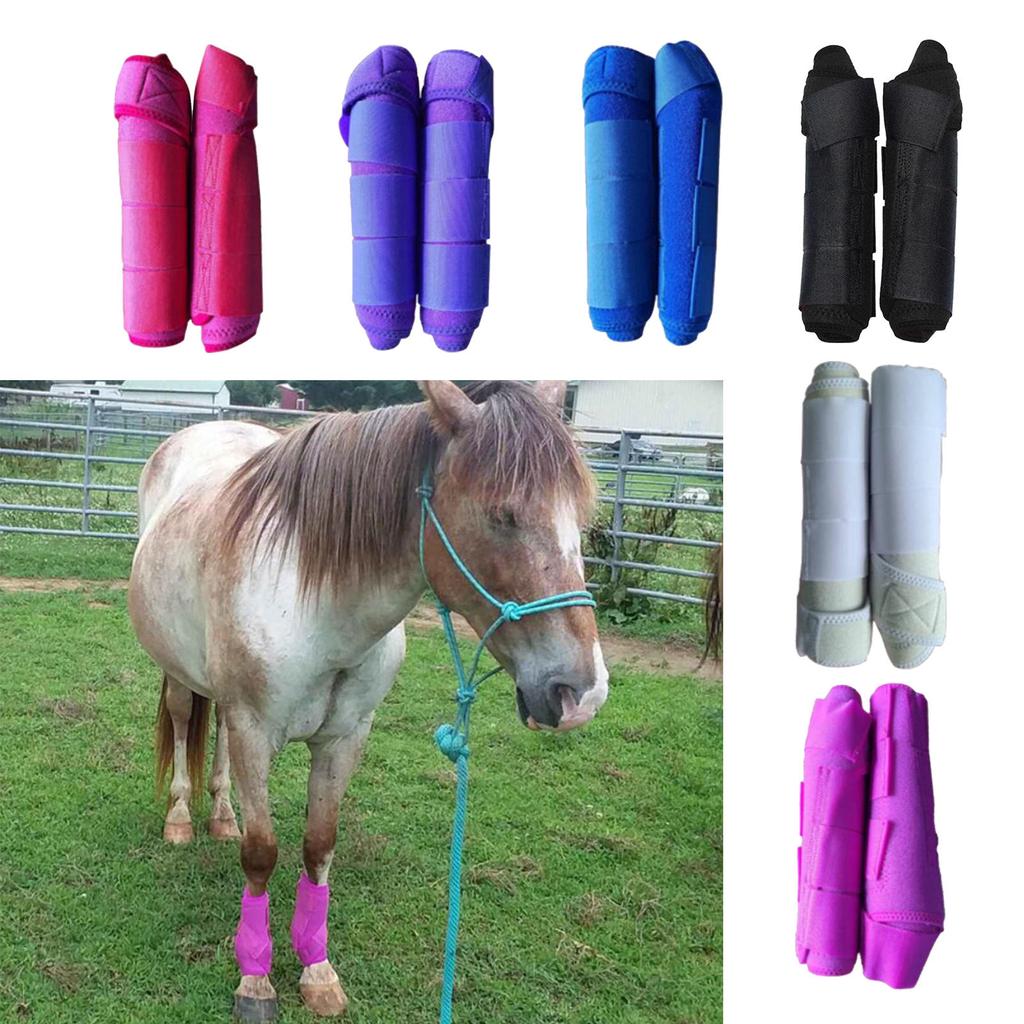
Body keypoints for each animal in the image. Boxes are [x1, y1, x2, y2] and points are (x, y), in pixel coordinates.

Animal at [127, 380, 609, 1020]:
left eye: (579, 516)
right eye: (501, 515)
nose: (582, 692)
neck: (318, 606)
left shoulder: (345, 738)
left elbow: (318, 846)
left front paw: (317, 970)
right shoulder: (256, 728)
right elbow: (262, 853)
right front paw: (255, 979)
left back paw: (223, 816)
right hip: (180, 673)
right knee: (185, 724)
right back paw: (182, 819)